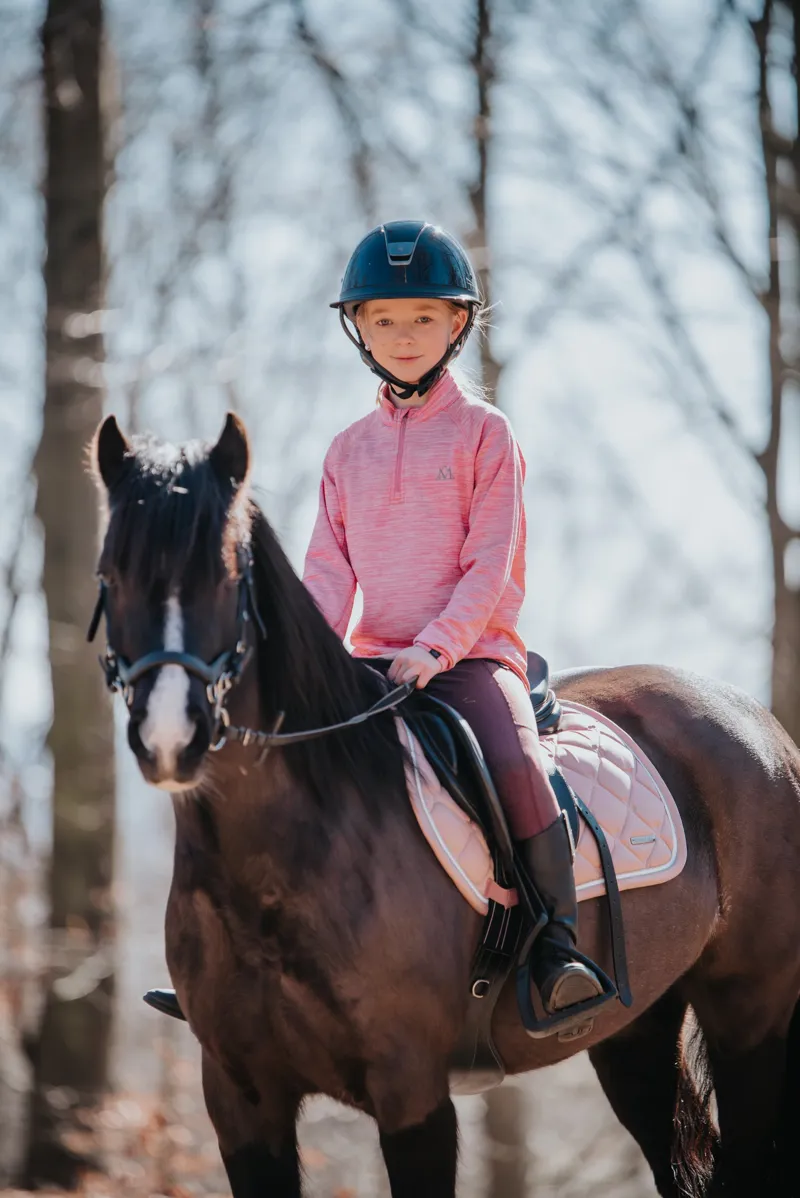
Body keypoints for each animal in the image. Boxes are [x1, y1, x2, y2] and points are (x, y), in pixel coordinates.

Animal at [89, 410, 800, 1198]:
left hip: (752, 1012)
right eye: (110, 574)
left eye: (224, 575)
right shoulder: (241, 1100)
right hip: (637, 1029)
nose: (169, 737)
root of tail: (757, 724)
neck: (283, 863)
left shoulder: (412, 1092)